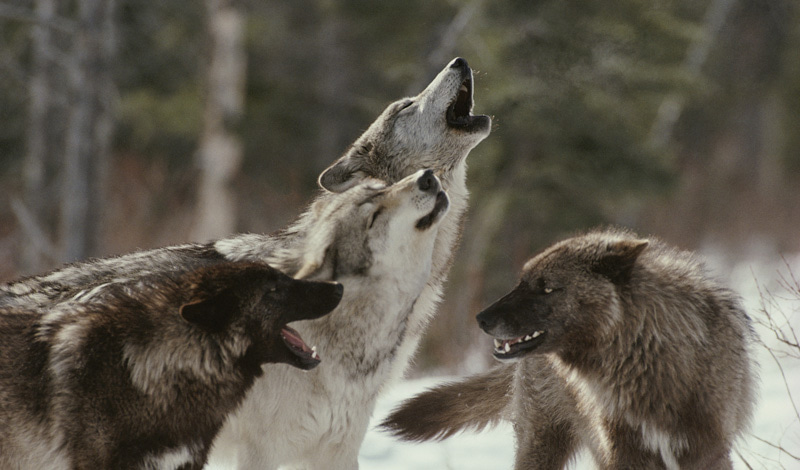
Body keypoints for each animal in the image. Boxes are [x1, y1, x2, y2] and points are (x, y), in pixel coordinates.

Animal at [382, 226, 756, 468]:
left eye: (547, 288)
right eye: (521, 282)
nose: (481, 318)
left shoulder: (707, 452)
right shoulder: (626, 454)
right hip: (542, 445)